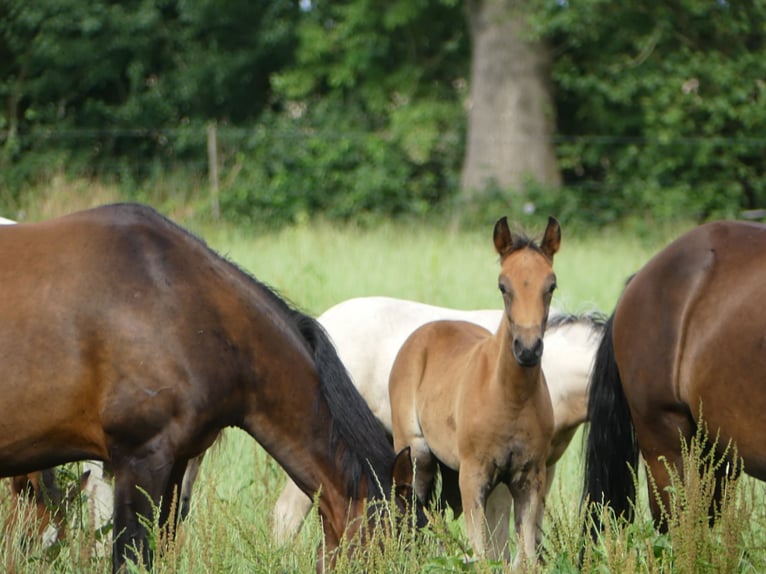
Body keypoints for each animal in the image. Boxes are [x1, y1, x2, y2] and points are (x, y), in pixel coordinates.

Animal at [392, 217, 560, 568]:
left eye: (551, 285)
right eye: (503, 286)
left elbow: (525, 558)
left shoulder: (529, 478)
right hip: (417, 454)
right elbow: (480, 555)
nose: (527, 350)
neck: (509, 398)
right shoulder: (473, 476)